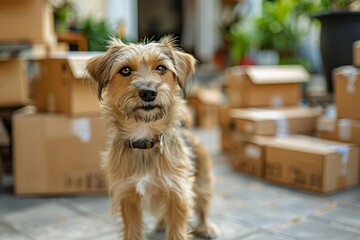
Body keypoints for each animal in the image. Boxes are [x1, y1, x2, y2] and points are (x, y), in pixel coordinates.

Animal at [86, 36, 217, 240]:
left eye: (161, 68)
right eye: (125, 70)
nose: (148, 92)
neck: (144, 135)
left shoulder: (178, 193)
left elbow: (177, 231)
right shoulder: (127, 196)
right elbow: (132, 231)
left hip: (203, 181)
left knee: (203, 205)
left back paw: (206, 227)